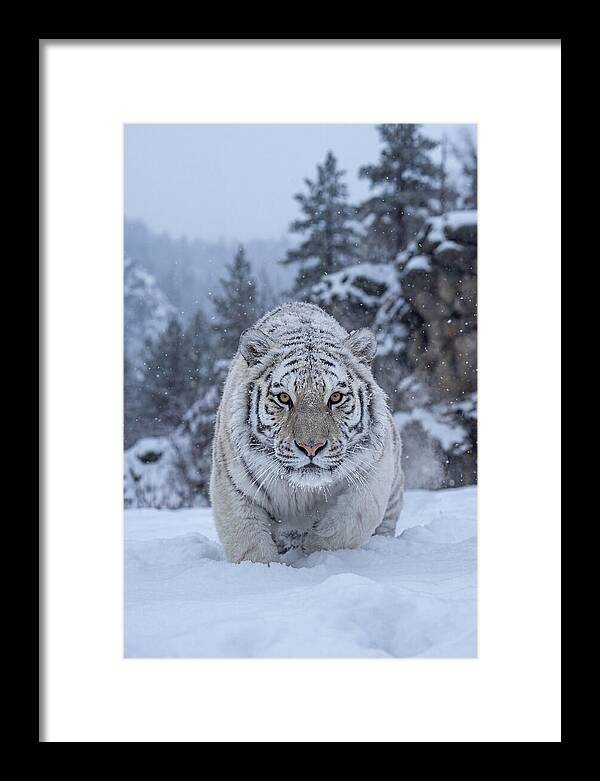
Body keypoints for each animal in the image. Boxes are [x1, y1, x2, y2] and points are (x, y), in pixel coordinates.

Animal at [210, 302, 405, 564]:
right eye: (284, 398)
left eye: (336, 397)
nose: (311, 446)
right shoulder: (233, 487)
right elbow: (249, 544)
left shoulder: (372, 474)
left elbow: (346, 526)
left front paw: (315, 552)